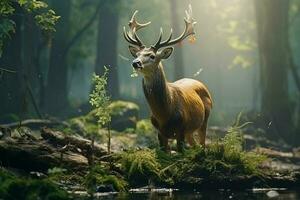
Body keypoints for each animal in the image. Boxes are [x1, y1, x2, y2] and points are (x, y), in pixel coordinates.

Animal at [123, 5, 212, 152]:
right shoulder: (159, 132)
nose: (135, 63)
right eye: (137, 54)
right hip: (190, 131)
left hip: (205, 119)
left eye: (152, 56)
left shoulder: (181, 128)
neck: (165, 114)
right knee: (195, 145)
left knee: (203, 143)